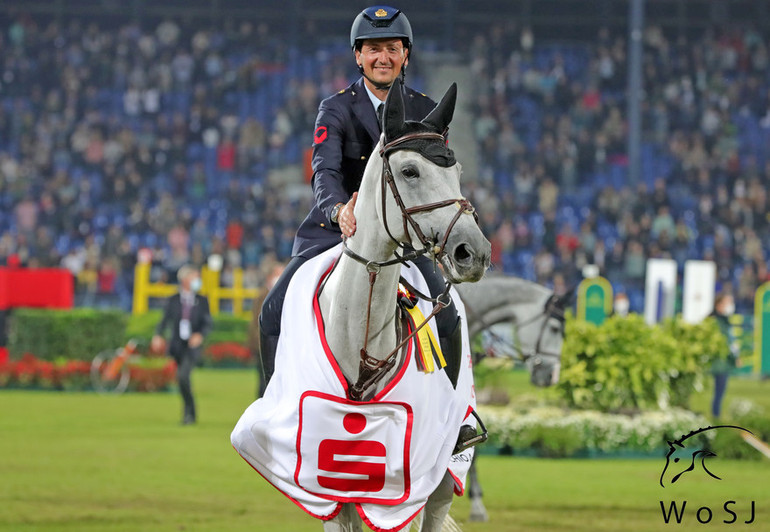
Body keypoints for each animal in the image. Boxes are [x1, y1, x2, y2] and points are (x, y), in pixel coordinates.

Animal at [231, 84, 488, 532]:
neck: (359, 333)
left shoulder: (408, 478)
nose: (473, 252)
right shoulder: (327, 479)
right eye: (409, 171)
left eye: (456, 172)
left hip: (443, 469)